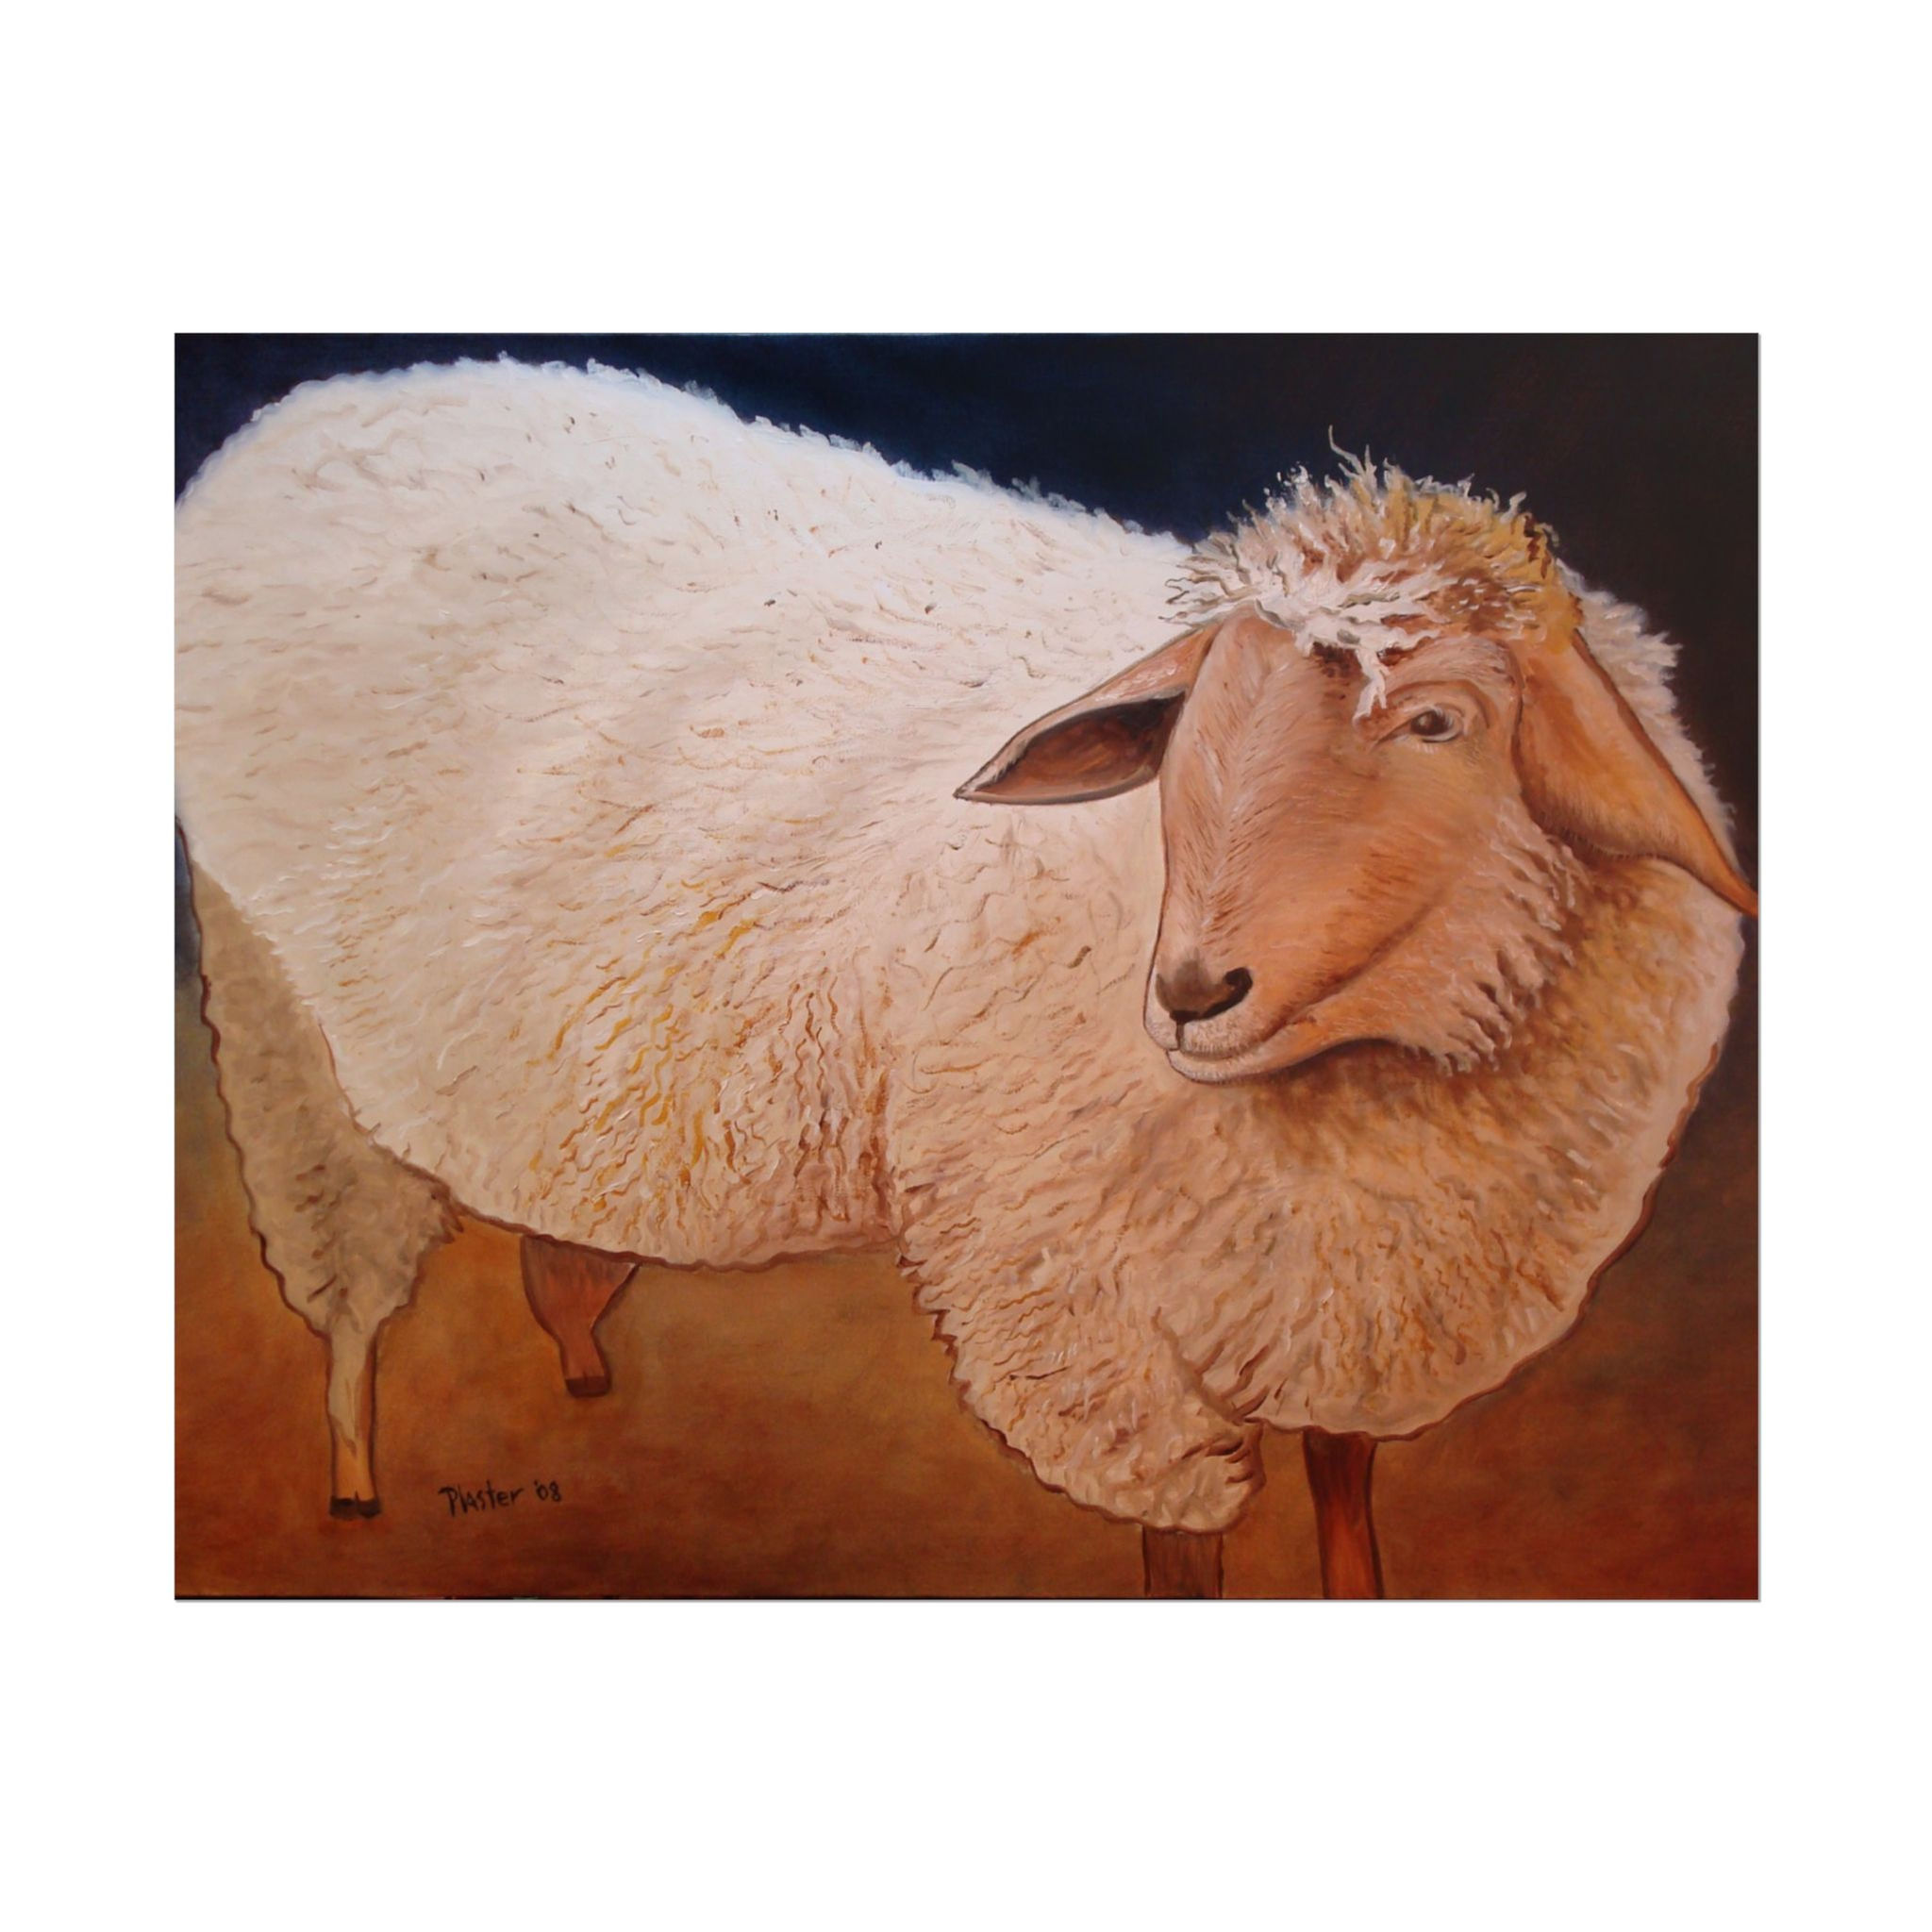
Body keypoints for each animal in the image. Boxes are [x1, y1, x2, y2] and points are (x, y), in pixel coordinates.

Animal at [174, 357, 1754, 1595]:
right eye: (1193, 727)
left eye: (1437, 721)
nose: (1192, 993)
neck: (1375, 1070)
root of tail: (307, 420)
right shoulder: (1095, 1329)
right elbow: (1182, 1555)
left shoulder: (1344, 1307)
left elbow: (1349, 1508)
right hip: (273, 995)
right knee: (341, 1273)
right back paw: (354, 1468)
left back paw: (578, 1359)